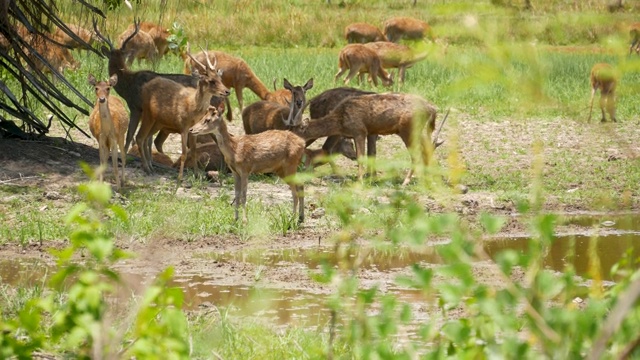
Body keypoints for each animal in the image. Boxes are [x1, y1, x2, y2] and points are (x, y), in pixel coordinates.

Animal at [92, 19, 228, 155]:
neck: (128, 85)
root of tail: (221, 96)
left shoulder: (136, 107)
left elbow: (130, 134)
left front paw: (125, 154)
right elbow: (147, 139)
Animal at [136, 53, 231, 184]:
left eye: (220, 79)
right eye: (211, 81)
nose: (227, 91)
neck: (192, 108)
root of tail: (144, 87)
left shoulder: (193, 130)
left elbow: (194, 151)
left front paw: (197, 175)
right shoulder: (183, 127)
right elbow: (184, 153)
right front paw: (180, 178)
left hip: (158, 122)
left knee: (146, 138)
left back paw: (150, 167)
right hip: (147, 113)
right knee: (140, 137)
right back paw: (147, 168)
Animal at [288, 92, 440, 186]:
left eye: (295, 131)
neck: (340, 122)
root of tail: (432, 108)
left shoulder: (359, 130)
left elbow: (361, 157)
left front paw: (359, 181)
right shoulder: (363, 132)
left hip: (407, 129)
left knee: (416, 154)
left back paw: (406, 182)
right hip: (418, 131)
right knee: (427, 150)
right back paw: (427, 179)